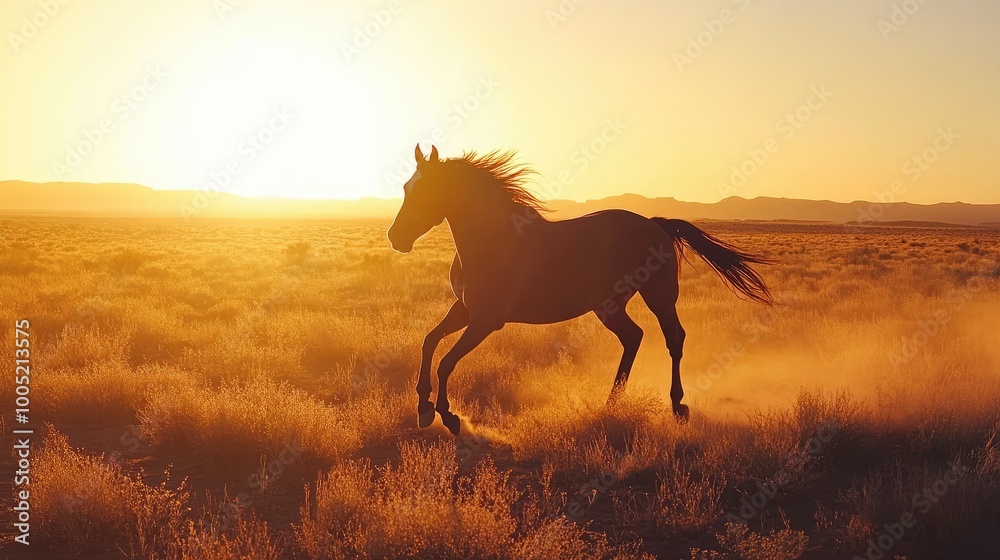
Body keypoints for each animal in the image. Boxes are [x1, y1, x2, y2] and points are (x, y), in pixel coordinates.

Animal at [387, 145, 774, 435]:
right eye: (406, 188)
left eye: (425, 190)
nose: (395, 238)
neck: (494, 240)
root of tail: (655, 224)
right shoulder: (465, 309)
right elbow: (429, 342)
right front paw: (423, 407)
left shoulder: (486, 320)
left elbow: (446, 362)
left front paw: (448, 415)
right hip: (609, 305)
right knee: (634, 337)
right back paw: (611, 403)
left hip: (658, 297)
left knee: (673, 338)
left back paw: (677, 405)